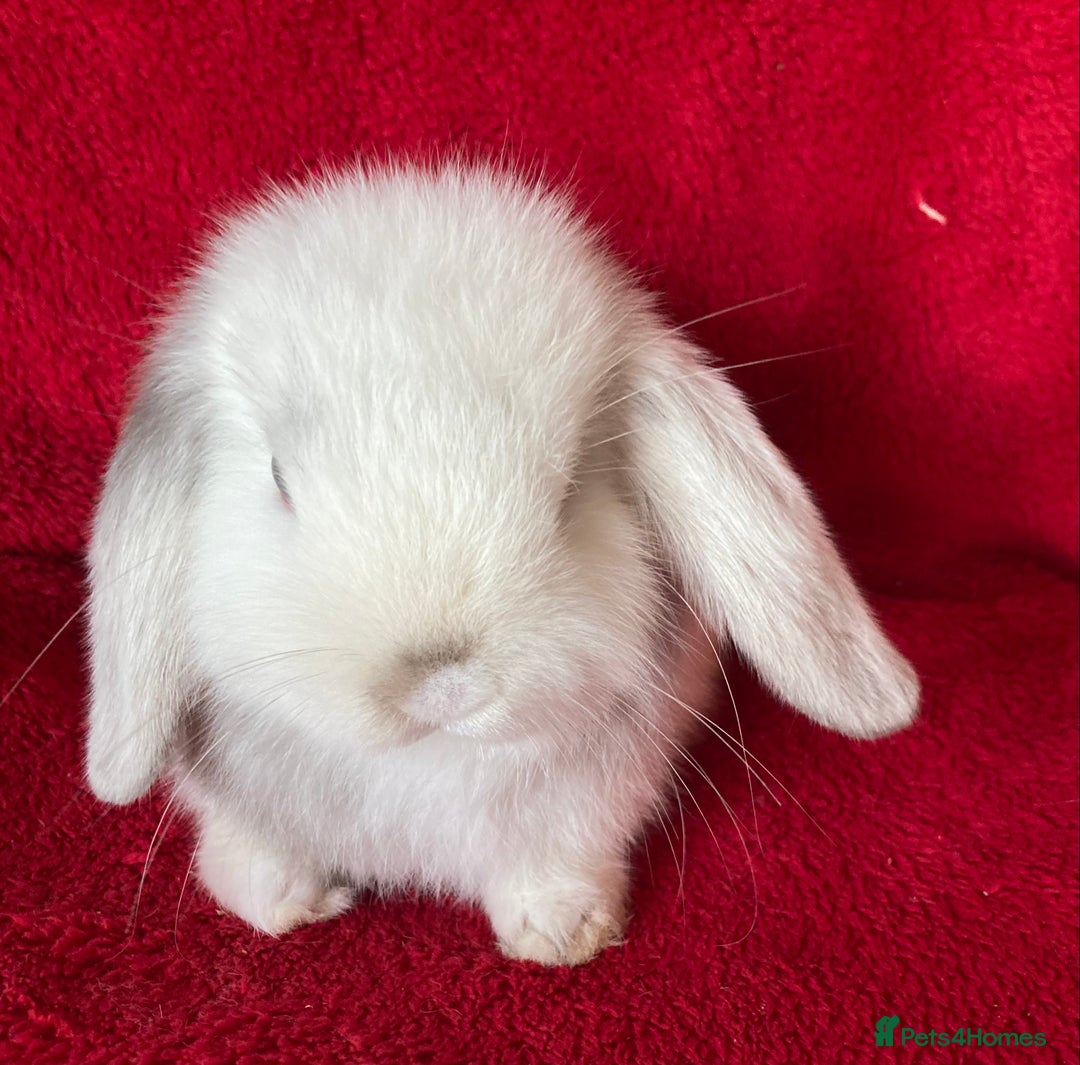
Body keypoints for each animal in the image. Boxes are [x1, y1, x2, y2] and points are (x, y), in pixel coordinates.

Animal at [85, 160, 919, 966]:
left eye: (572, 483)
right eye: (279, 479)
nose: (443, 683)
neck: (427, 757)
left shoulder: (589, 811)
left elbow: (555, 866)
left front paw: (561, 935)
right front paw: (281, 901)